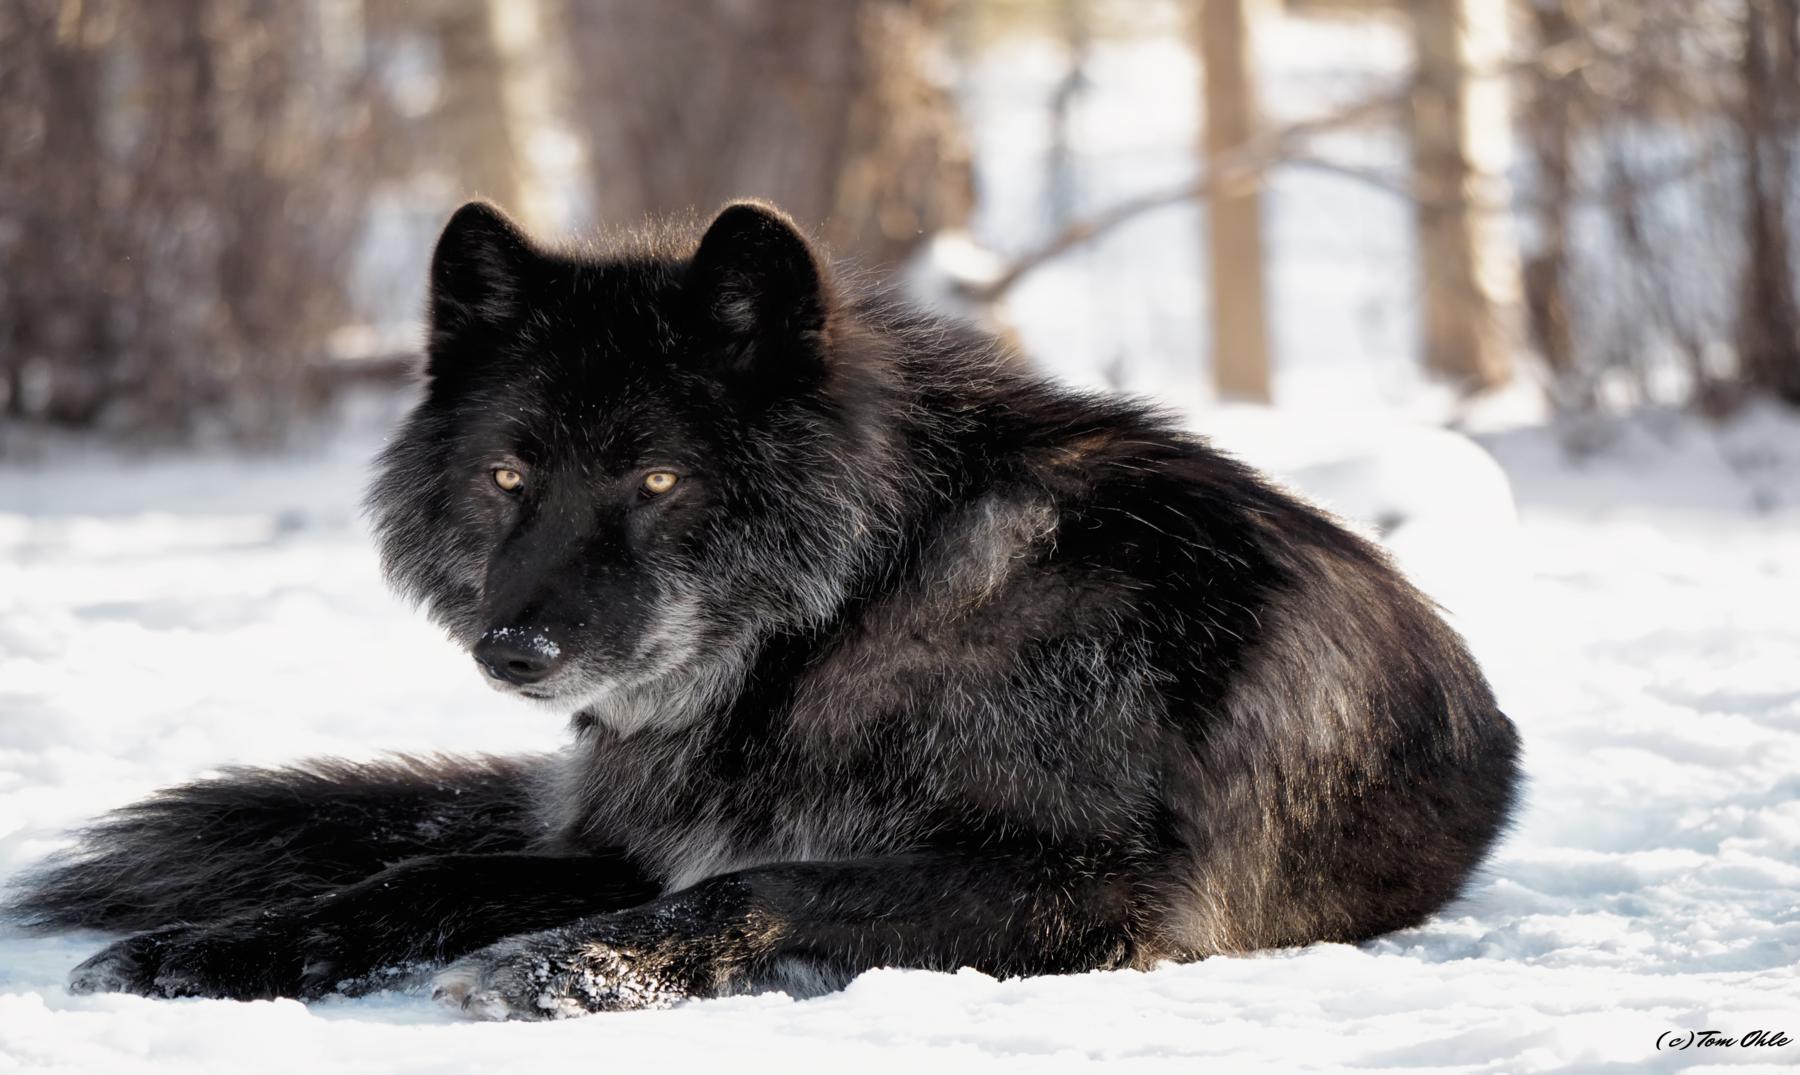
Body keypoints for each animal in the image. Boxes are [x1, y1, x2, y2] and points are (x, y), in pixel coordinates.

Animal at [3, 201, 1519, 1015]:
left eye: (659, 476)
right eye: (509, 474)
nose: (516, 647)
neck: (843, 619)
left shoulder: (1093, 889)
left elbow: (766, 879)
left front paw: (562, 969)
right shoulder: (632, 840)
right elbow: (419, 877)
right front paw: (212, 951)